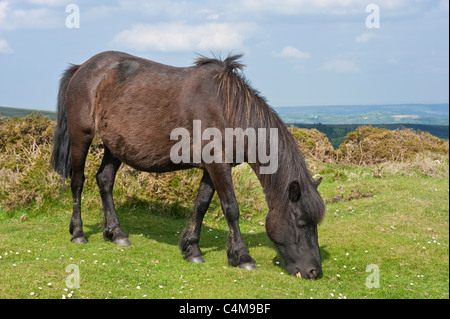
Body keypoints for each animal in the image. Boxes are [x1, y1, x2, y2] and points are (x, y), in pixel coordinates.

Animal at [51, 51, 326, 278]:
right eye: (301, 222)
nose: (314, 272)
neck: (228, 111)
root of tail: (82, 67)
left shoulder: (213, 168)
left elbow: (201, 205)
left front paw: (192, 249)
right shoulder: (218, 166)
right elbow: (231, 208)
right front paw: (242, 257)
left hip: (114, 146)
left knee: (105, 181)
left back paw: (116, 233)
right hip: (81, 136)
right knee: (78, 182)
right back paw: (78, 233)